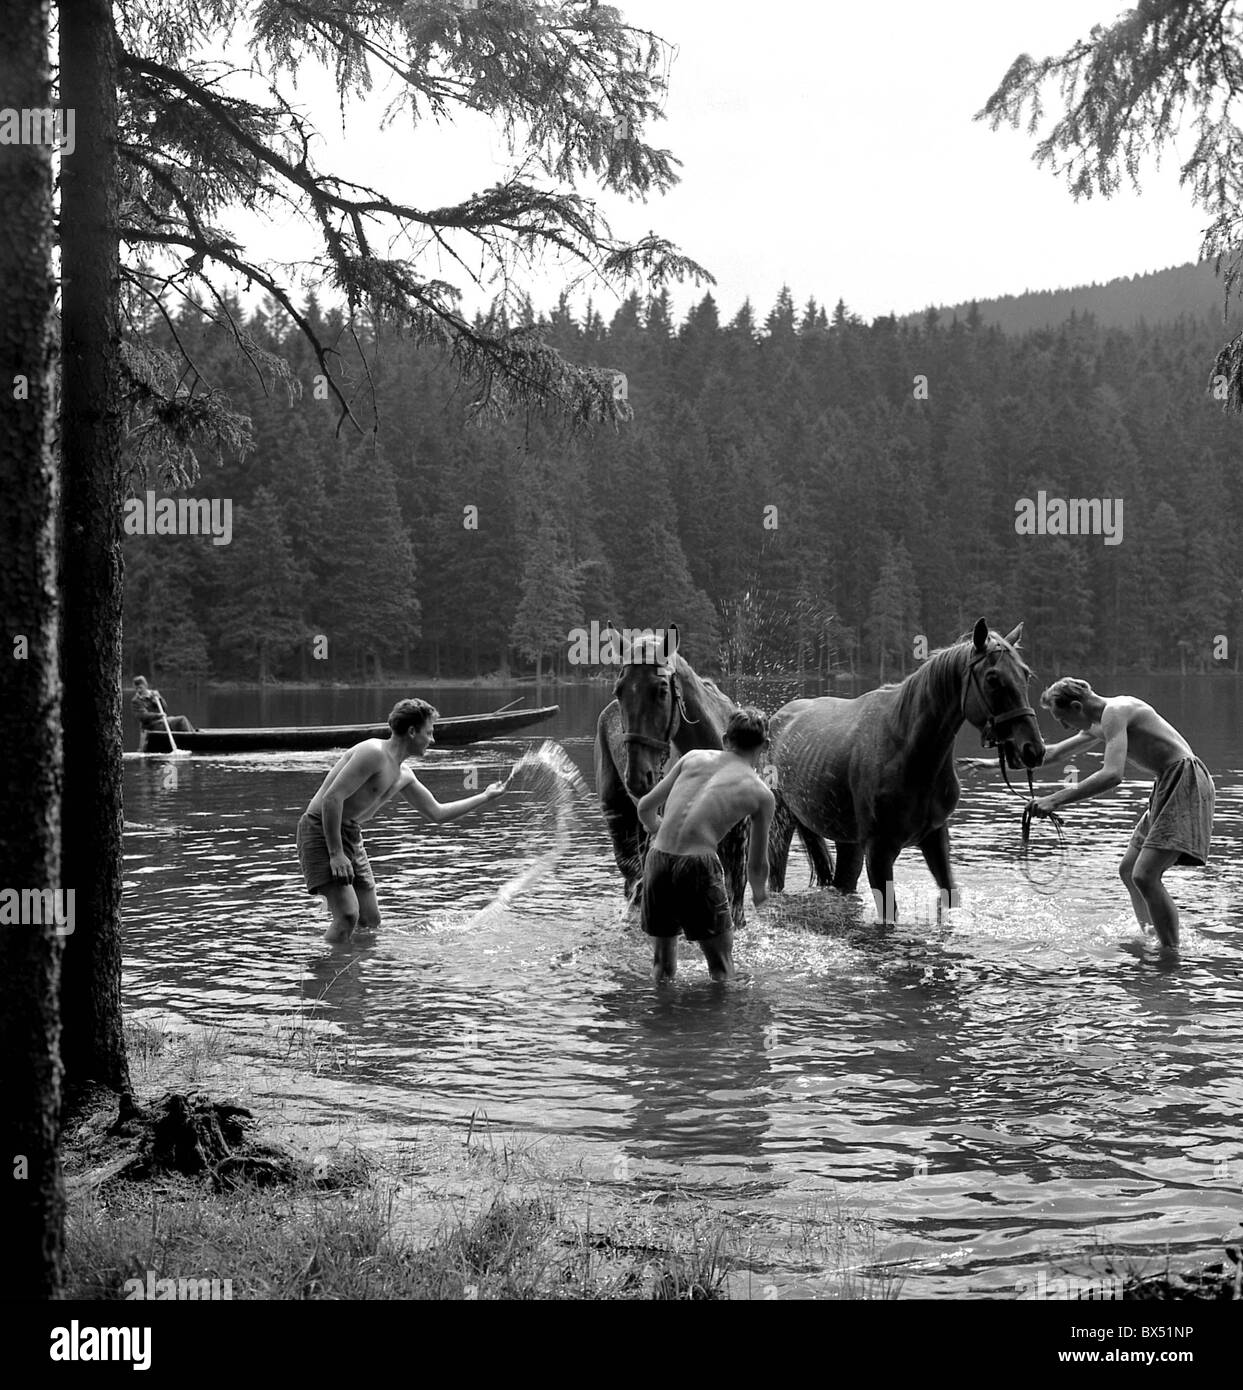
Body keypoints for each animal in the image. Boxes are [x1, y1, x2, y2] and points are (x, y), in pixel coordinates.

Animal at [766, 619, 1045, 924]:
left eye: (1026, 674)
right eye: (993, 678)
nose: (1033, 749)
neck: (909, 753)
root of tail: (778, 718)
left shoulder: (935, 837)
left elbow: (950, 895)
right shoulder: (879, 852)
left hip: (847, 842)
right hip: (780, 824)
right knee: (775, 880)